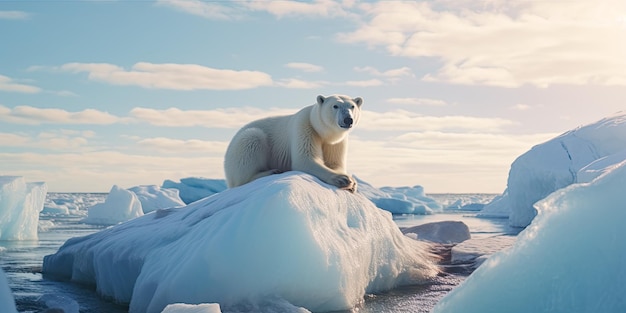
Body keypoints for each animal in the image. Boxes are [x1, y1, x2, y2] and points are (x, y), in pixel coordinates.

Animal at [223, 93, 360, 190]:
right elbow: (304, 160)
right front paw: (343, 179)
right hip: (239, 152)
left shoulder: (336, 143)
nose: (348, 119)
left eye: (352, 106)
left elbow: (335, 163)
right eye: (335, 106)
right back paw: (271, 171)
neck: (323, 132)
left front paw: (352, 182)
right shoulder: (305, 127)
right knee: (251, 140)